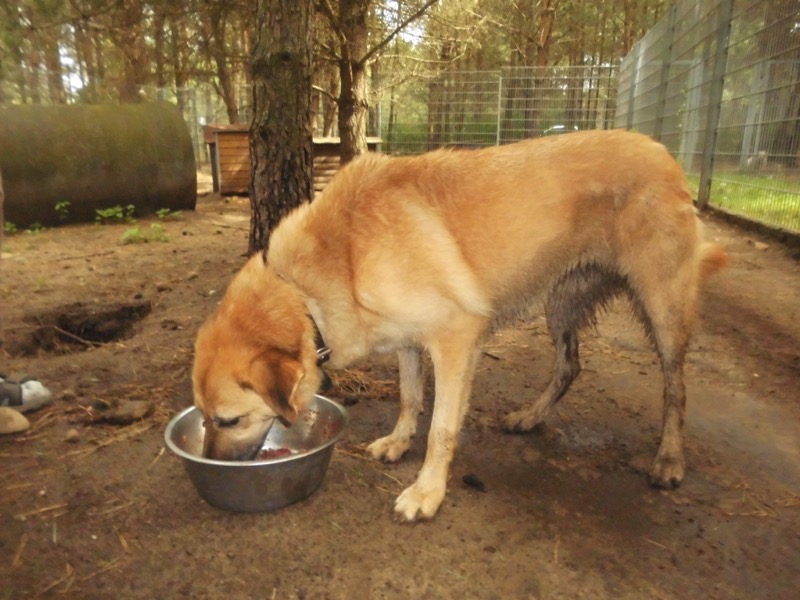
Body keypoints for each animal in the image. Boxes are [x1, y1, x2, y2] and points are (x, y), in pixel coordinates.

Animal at [192, 130, 727, 522]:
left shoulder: (455, 339)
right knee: (569, 366)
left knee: (675, 388)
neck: (332, 265)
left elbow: (442, 428)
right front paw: (397, 443)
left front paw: (427, 491)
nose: (211, 464)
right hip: (561, 301)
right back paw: (530, 417)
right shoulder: (408, 341)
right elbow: (410, 398)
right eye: (203, 418)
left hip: (662, 309)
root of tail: (663, 151)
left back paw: (669, 459)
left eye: (228, 420)